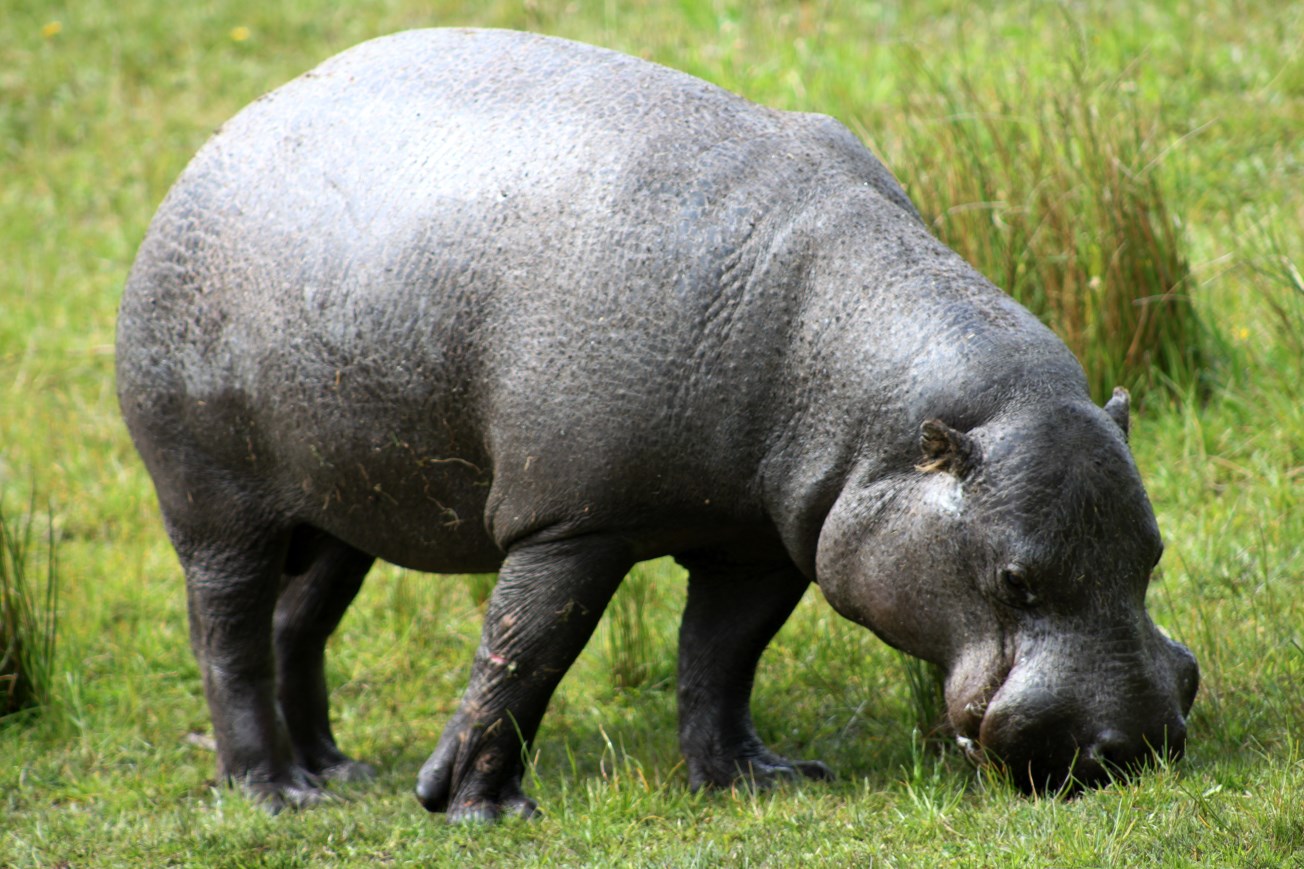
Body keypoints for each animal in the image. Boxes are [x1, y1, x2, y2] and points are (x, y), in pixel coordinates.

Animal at [116, 28, 1198, 821]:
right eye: (1014, 580)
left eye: (1151, 555)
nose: (1132, 744)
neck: (838, 363)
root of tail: (216, 144)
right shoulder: (570, 523)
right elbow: (523, 654)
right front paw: (479, 808)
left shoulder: (762, 540)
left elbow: (719, 658)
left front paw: (754, 777)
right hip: (216, 505)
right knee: (228, 636)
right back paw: (275, 792)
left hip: (344, 499)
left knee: (298, 621)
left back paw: (335, 768)